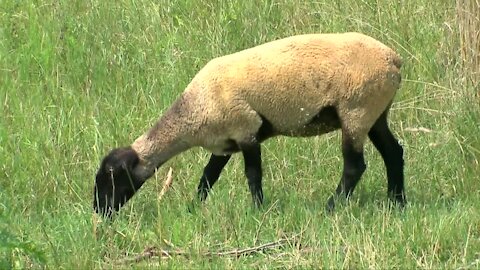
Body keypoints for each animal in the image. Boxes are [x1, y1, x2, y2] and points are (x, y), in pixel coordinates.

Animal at [93, 32, 404, 217]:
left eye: (112, 177)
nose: (99, 211)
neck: (192, 110)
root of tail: (394, 60)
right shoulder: (223, 144)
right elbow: (208, 177)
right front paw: (194, 207)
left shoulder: (247, 130)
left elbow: (253, 175)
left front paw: (257, 211)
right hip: (376, 112)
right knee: (394, 153)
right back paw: (397, 202)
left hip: (356, 109)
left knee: (354, 166)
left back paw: (330, 207)